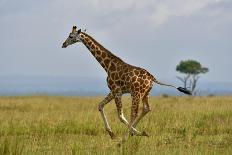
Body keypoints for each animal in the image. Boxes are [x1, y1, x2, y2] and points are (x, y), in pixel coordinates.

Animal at [61, 26, 190, 140]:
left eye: (71, 36)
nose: (63, 44)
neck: (108, 66)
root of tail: (152, 78)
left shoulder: (116, 91)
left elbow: (121, 116)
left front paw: (129, 134)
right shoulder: (114, 91)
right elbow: (100, 105)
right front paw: (112, 134)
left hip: (136, 94)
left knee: (134, 113)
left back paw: (126, 138)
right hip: (145, 93)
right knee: (147, 109)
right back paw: (134, 132)